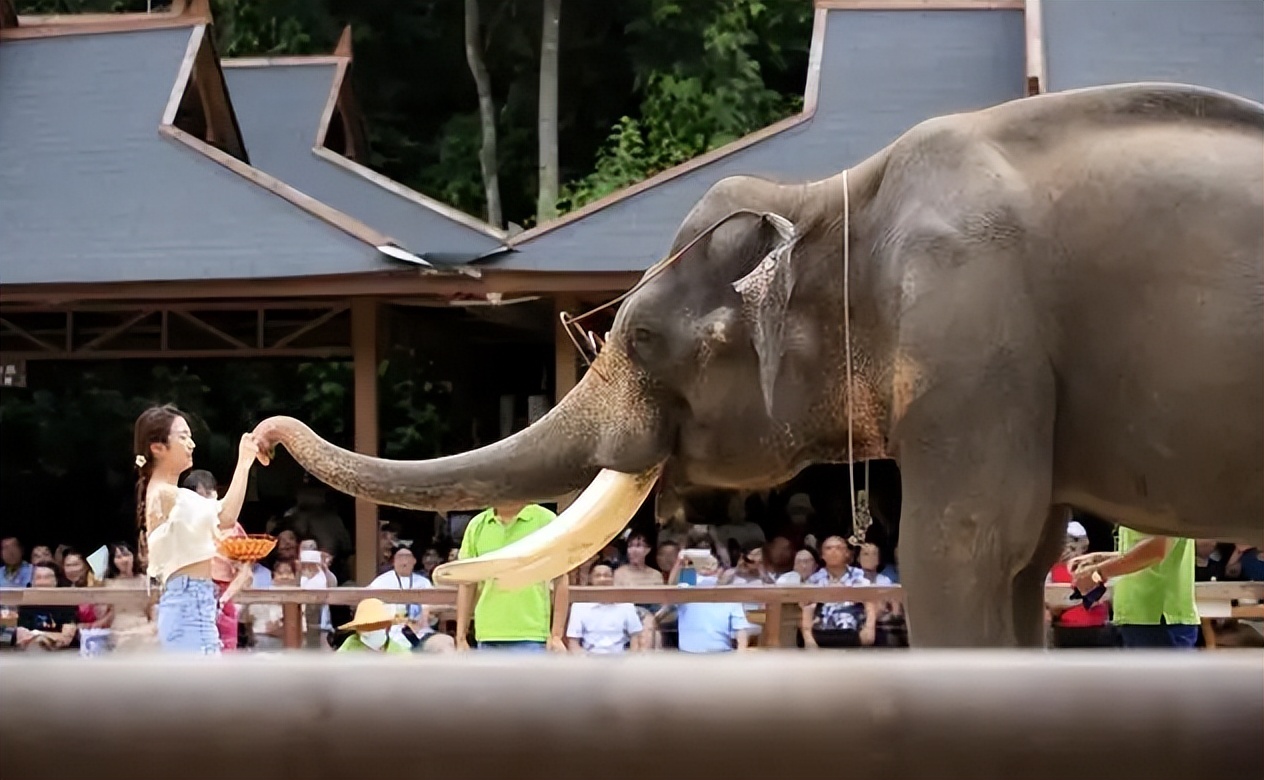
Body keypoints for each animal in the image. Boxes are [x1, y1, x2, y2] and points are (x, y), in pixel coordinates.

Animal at [251, 82, 1258, 647]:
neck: (836, 197)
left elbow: (964, 549)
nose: (262, 438)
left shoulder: (971, 339)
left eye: (642, 340)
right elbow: (1023, 560)